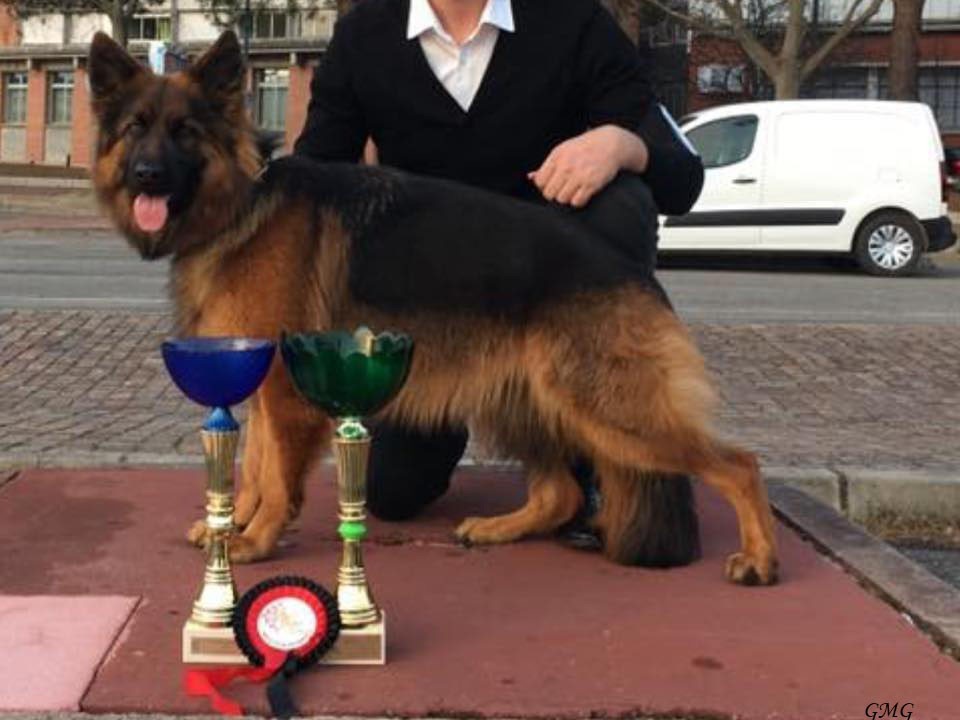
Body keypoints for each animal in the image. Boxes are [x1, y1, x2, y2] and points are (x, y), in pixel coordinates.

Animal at [88, 31, 780, 588]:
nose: (146, 175)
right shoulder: (262, 386)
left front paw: (254, 540)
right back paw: (501, 528)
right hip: (525, 403)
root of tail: (631, 271)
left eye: (185, 131)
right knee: (558, 492)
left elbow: (276, 476)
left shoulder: (282, 391)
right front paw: (238, 529)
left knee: (740, 464)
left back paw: (760, 558)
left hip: (609, 411)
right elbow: (256, 469)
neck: (243, 204)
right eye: (136, 129)